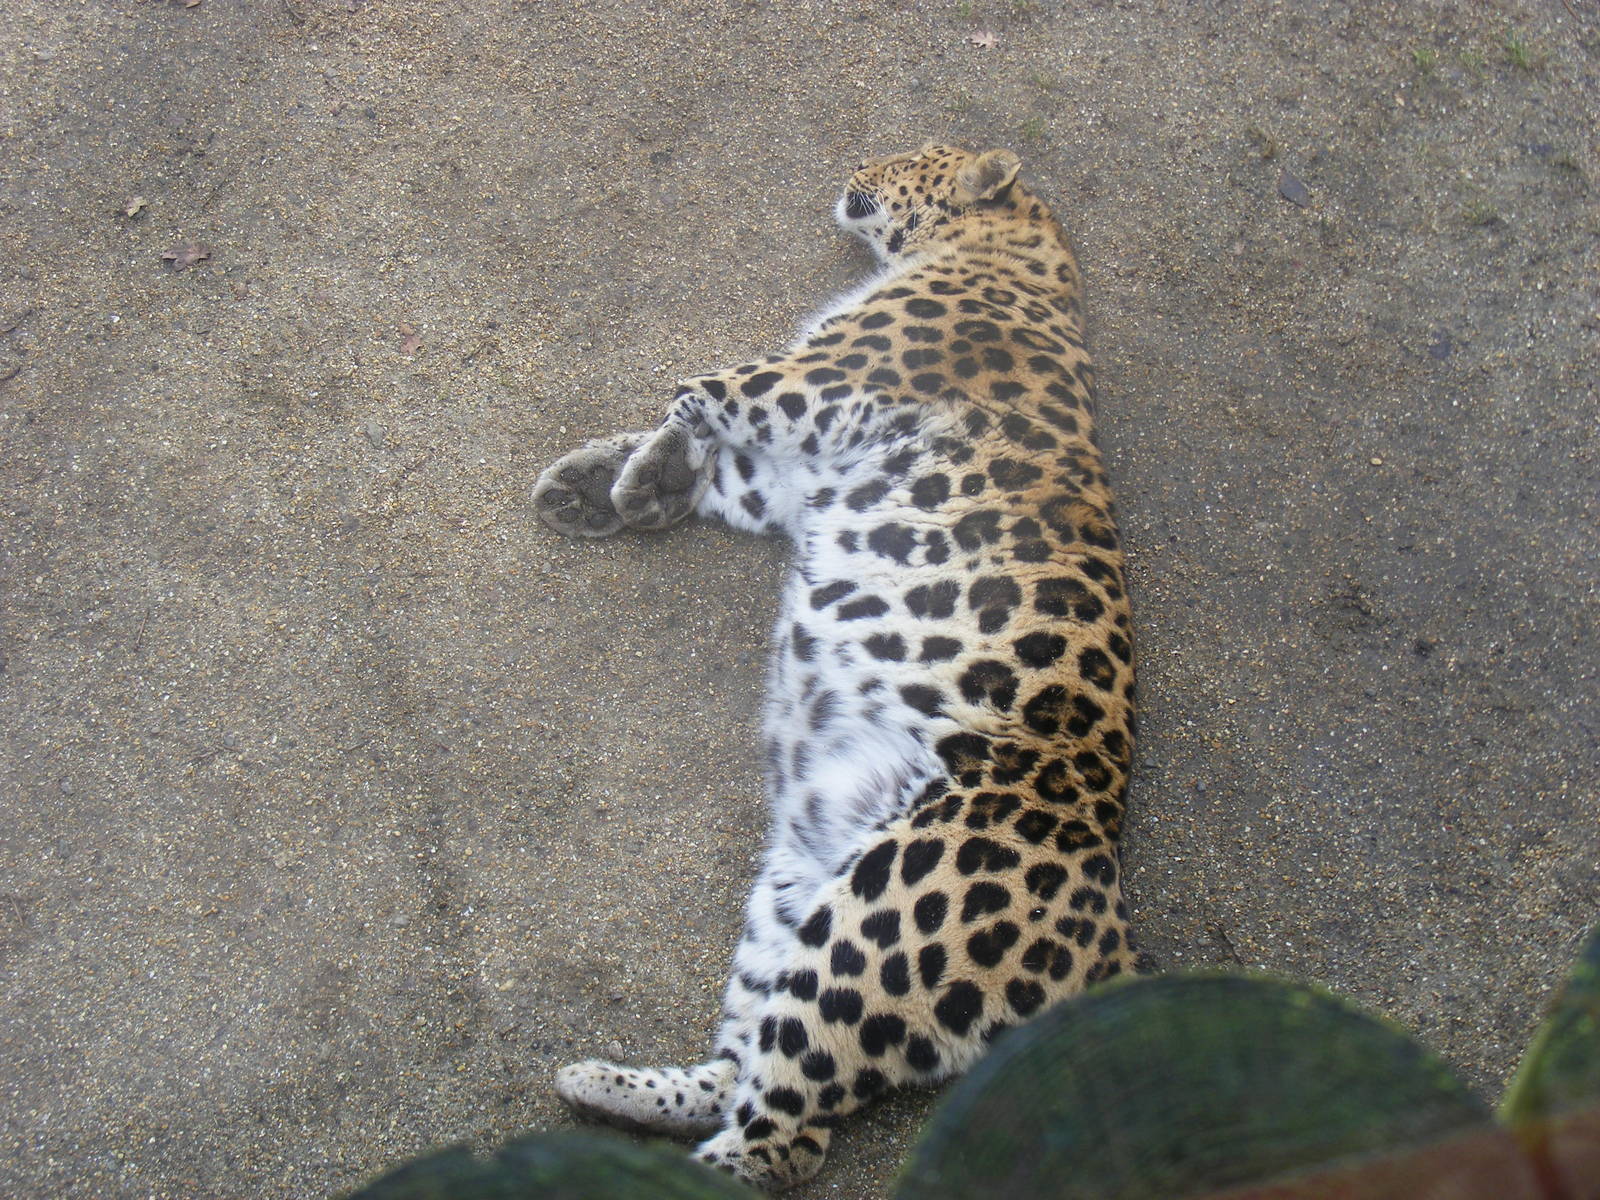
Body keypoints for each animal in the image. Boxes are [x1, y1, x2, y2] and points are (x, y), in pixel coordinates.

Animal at [533, 143, 1144, 1190]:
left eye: (915, 156)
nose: (855, 165)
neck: (1016, 243)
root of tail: (1106, 932)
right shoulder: (797, 466)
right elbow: (716, 453)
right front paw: (604, 485)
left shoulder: (814, 382)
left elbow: (698, 390)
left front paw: (640, 470)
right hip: (796, 896)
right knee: (738, 1073)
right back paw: (599, 1086)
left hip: (885, 922)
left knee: (782, 1141)